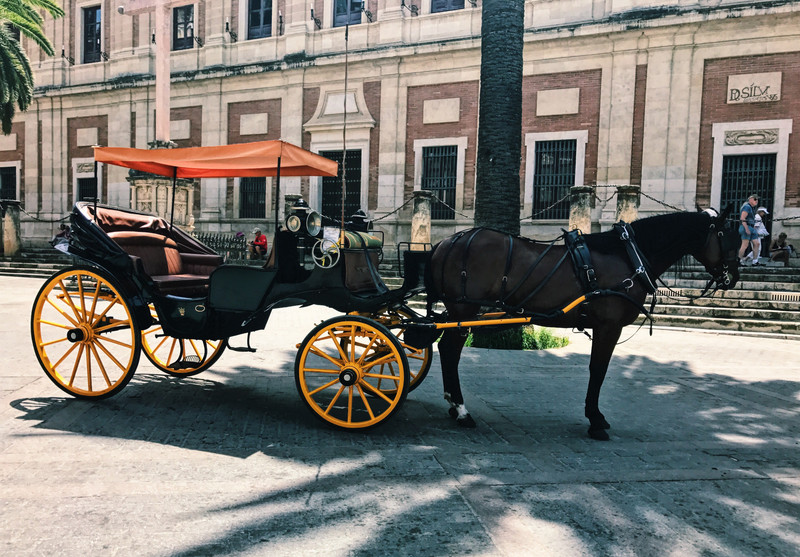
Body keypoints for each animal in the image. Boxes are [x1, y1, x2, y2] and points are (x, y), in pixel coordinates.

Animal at [428, 208, 740, 438]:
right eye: (727, 237)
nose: (734, 277)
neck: (627, 256)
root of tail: (445, 243)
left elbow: (596, 370)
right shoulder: (608, 327)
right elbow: (598, 370)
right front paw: (596, 420)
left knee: (446, 350)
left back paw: (455, 406)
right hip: (464, 310)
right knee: (450, 351)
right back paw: (461, 409)